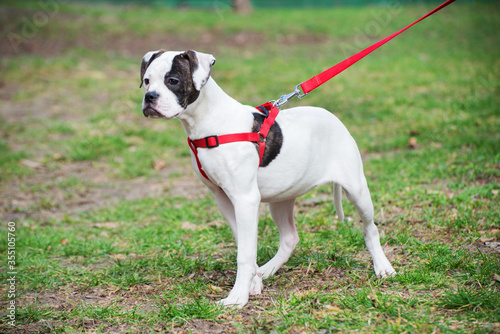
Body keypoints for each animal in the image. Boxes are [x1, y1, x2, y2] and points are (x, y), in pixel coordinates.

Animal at [138, 49, 394, 308]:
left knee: (370, 228)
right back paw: (267, 270)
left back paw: (383, 267)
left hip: (357, 189)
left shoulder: (245, 199)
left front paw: (237, 297)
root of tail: (333, 117)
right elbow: (245, 245)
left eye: (173, 80)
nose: (149, 97)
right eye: (147, 81)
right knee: (290, 238)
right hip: (281, 199)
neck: (208, 122)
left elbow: (244, 254)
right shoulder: (224, 199)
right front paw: (254, 283)